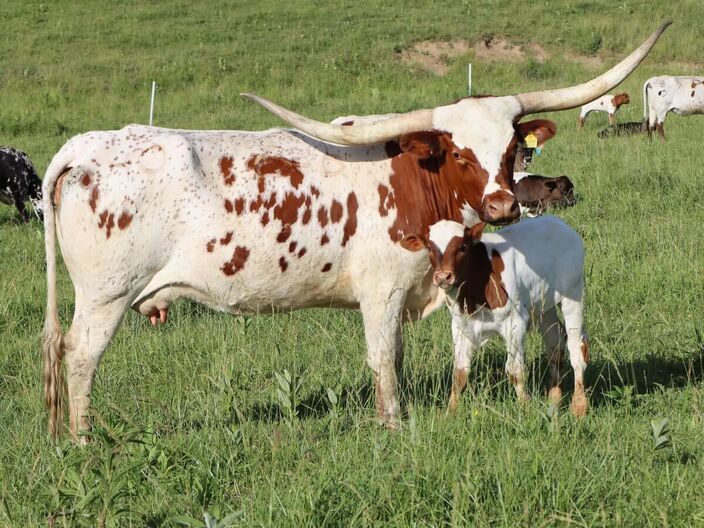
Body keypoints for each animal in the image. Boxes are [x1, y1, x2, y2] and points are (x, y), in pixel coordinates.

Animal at [398, 217, 584, 414]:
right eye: (429, 248)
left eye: (463, 247)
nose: (443, 276)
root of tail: (557, 222)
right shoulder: (460, 327)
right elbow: (459, 373)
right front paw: (451, 411)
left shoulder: (515, 324)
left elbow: (515, 371)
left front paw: (524, 408)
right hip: (543, 306)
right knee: (555, 343)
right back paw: (554, 401)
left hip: (573, 295)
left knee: (576, 348)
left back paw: (579, 406)